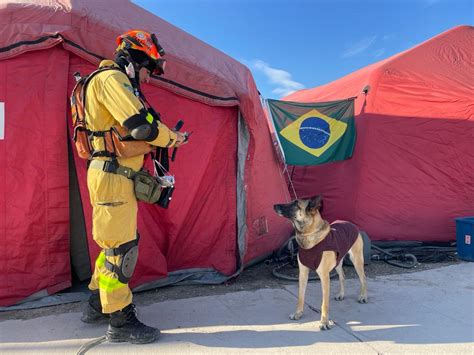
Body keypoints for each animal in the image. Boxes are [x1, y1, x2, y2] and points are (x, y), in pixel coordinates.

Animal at [274, 195, 366, 330]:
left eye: (296, 204)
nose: (274, 205)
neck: (308, 234)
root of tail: (350, 223)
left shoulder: (324, 276)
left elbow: (324, 303)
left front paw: (324, 322)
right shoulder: (303, 274)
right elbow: (300, 296)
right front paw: (298, 313)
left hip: (357, 259)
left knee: (363, 278)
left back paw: (363, 296)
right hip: (338, 262)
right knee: (342, 276)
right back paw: (341, 294)